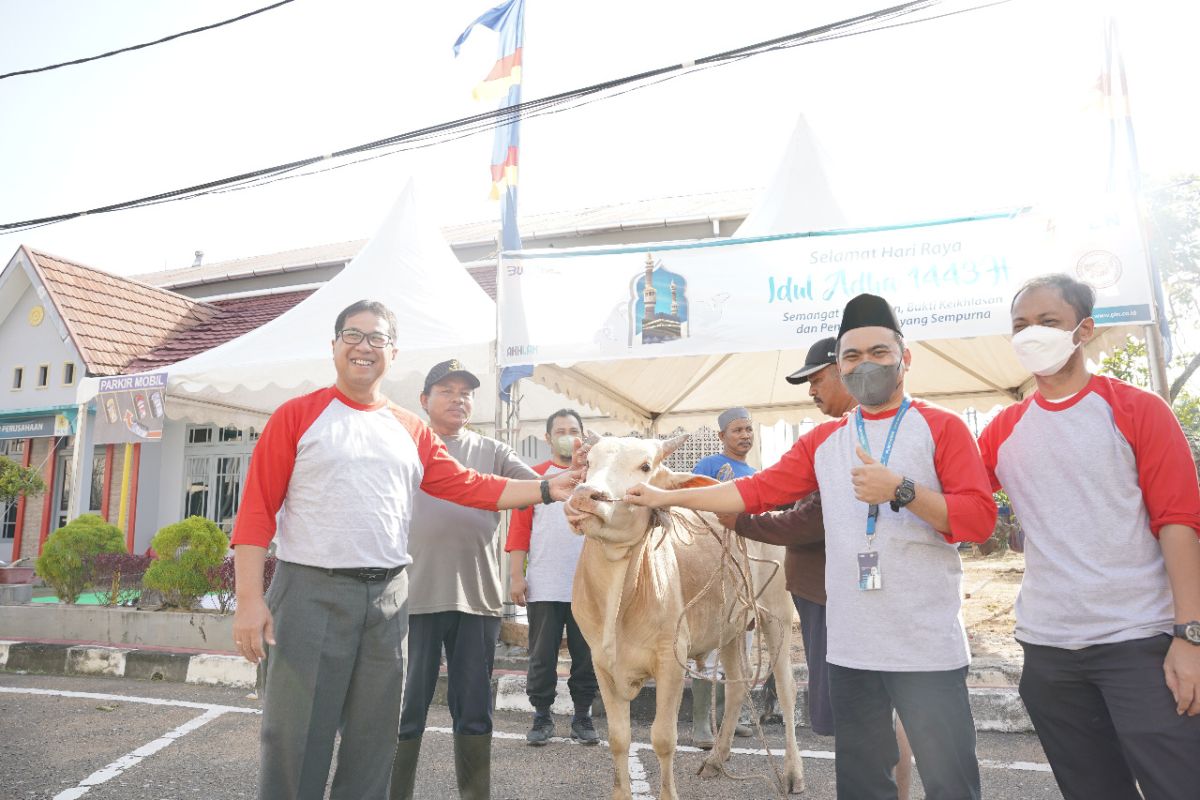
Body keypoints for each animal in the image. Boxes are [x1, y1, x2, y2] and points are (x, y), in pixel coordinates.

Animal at [564, 434, 806, 800]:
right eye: (588, 462)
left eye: (645, 466)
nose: (584, 496)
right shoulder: (601, 662)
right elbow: (619, 739)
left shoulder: (671, 659)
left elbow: (664, 738)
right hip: (731, 627)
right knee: (737, 684)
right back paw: (717, 759)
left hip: (776, 614)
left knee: (786, 688)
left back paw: (793, 773)